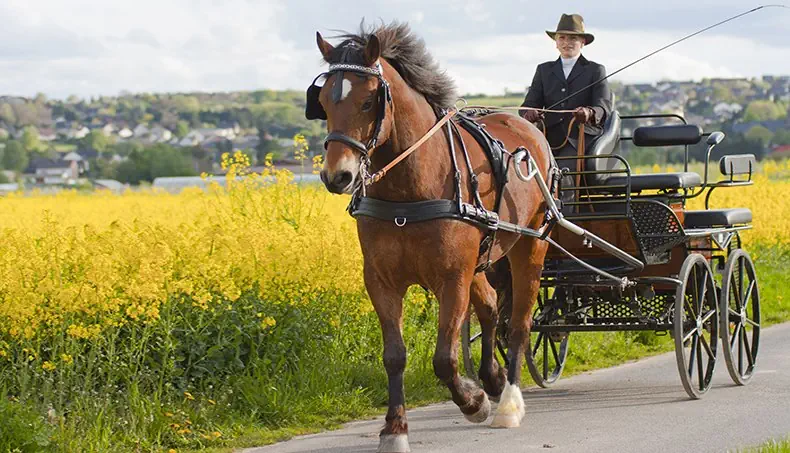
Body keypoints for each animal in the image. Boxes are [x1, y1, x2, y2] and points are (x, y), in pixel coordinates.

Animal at [307, 22, 553, 453]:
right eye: (322, 100)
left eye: (369, 101)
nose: (338, 175)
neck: (408, 192)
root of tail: (528, 128)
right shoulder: (381, 280)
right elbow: (394, 355)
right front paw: (394, 429)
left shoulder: (452, 278)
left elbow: (444, 357)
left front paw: (473, 403)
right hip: (482, 258)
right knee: (492, 308)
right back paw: (492, 378)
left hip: (530, 246)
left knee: (520, 325)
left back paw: (508, 401)